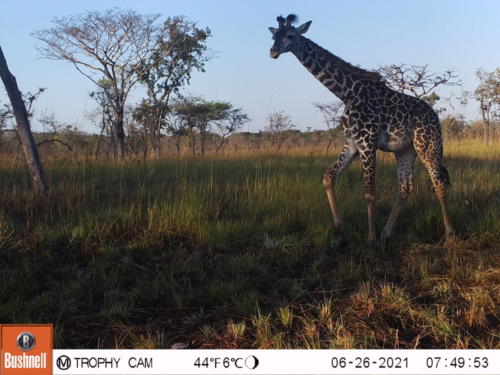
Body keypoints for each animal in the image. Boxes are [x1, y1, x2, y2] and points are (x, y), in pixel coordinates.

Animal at [268, 14, 456, 248]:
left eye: (291, 35)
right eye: (274, 36)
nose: (273, 52)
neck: (347, 93)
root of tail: (435, 117)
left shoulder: (367, 142)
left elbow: (369, 193)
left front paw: (370, 239)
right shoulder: (352, 143)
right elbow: (328, 177)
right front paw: (341, 230)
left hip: (428, 145)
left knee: (439, 183)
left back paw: (450, 235)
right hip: (405, 151)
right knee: (405, 188)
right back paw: (386, 234)